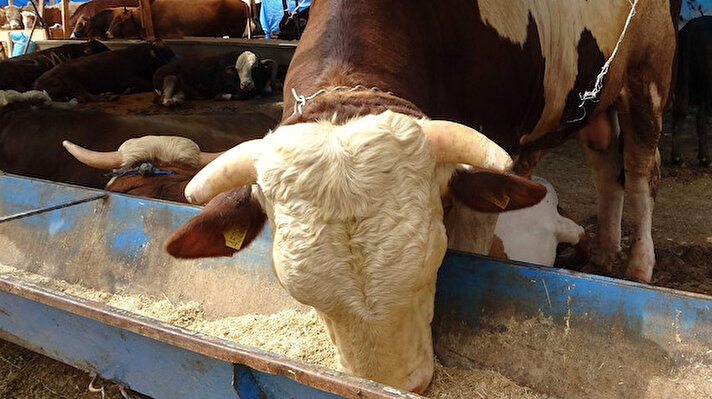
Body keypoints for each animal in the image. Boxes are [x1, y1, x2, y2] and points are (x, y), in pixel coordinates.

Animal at [32, 40, 177, 102]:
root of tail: (37, 85)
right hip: (71, 82)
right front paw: (128, 90)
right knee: (85, 96)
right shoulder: (127, 77)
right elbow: (147, 83)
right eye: (164, 55)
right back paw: (110, 96)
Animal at [161, 0, 680, 394]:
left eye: (432, 267)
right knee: (605, 173)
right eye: (301, 294)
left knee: (639, 175)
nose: (398, 382)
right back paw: (606, 251)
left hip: (647, 77)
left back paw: (639, 264)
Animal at [672, 16, 712, 166]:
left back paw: (678, 158)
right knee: (701, 116)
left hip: (683, 80)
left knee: (679, 111)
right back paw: (706, 159)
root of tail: (692, 28)